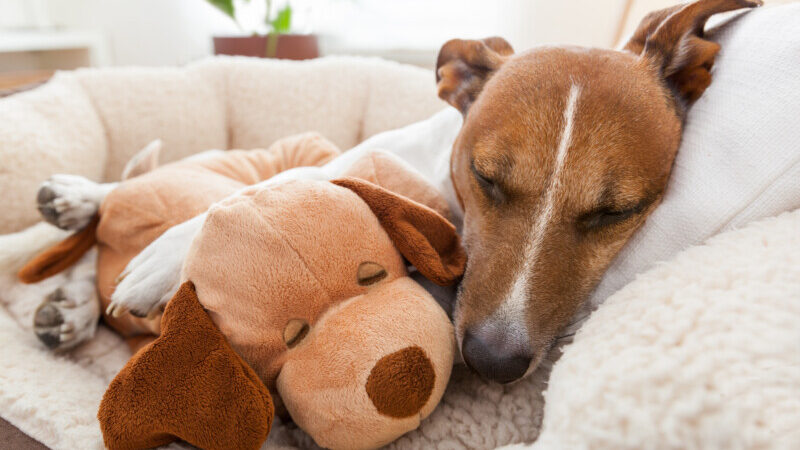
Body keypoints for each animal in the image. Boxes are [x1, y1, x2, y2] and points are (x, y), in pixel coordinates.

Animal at [3, 0, 760, 386]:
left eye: (615, 212)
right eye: (487, 177)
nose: (493, 364)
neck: (443, 183)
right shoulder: (350, 161)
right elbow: (260, 195)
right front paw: (164, 257)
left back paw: (71, 301)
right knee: (135, 203)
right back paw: (78, 205)